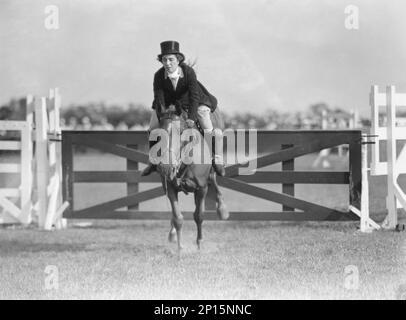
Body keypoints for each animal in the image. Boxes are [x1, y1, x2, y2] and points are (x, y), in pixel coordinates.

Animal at [151, 106, 230, 251]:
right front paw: (180, 247)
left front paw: (200, 243)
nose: (166, 167)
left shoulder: (201, 188)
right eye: (158, 134)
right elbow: (177, 217)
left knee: (214, 180)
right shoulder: (170, 188)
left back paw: (222, 209)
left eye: (181, 131)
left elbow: (198, 215)